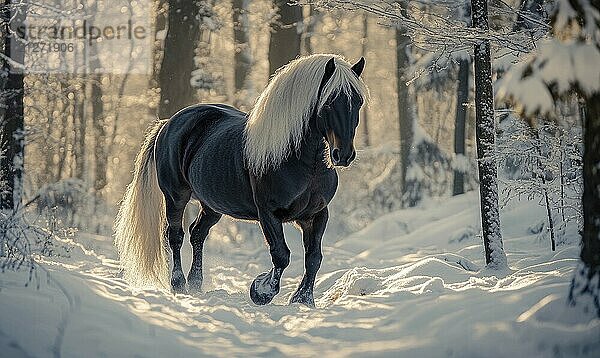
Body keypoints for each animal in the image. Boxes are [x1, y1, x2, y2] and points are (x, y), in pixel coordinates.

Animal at [113, 54, 366, 306]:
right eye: (329, 103)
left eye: (358, 102)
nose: (343, 155)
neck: (302, 162)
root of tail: (169, 123)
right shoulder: (268, 214)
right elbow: (281, 255)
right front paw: (262, 290)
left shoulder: (317, 214)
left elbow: (314, 257)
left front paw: (303, 299)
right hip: (176, 196)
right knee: (175, 236)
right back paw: (179, 284)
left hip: (212, 205)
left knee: (197, 233)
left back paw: (195, 284)